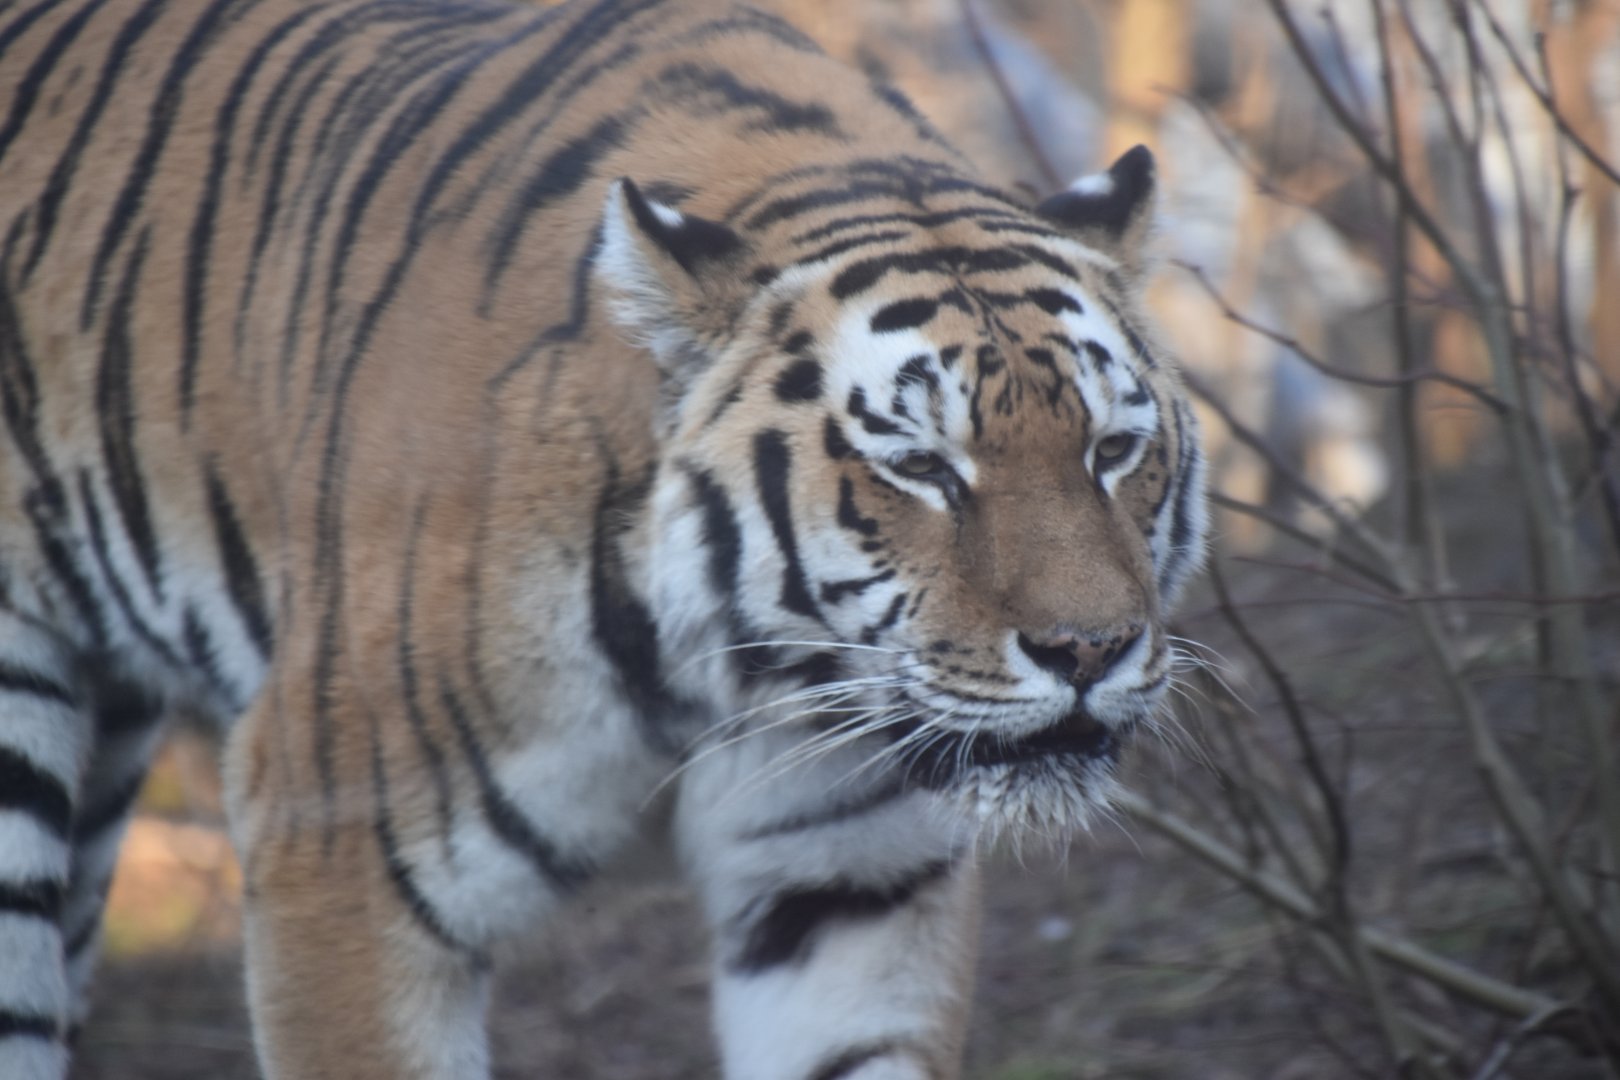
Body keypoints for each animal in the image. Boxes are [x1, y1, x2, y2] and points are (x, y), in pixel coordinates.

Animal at [0, 0, 1209, 1076]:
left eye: (1111, 449)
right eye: (920, 467)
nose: (1089, 652)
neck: (741, 674)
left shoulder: (850, 877)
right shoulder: (336, 849)